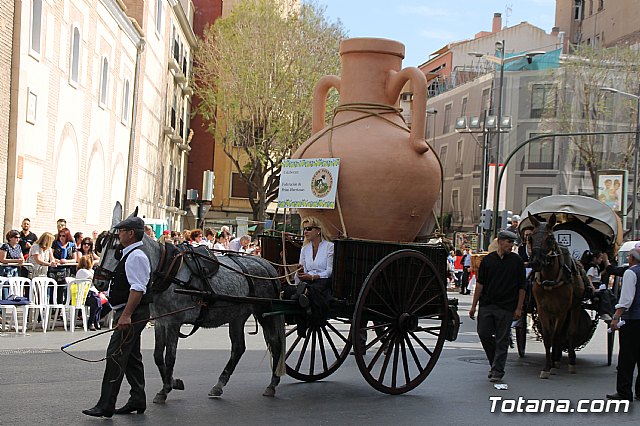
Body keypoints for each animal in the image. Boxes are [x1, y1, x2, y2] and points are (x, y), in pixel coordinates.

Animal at [94, 211, 284, 404]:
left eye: (117, 249)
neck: (167, 271)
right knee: (238, 348)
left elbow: (170, 357)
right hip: (237, 316)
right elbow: (157, 356)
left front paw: (166, 389)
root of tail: (265, 264)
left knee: (275, 344)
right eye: (101, 245)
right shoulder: (161, 321)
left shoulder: (173, 322)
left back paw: (272, 383)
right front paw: (172, 383)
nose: (99, 282)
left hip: (264, 313)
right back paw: (219, 385)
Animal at [524, 213, 584, 380]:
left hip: (575, 307)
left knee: (570, 332)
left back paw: (569, 360)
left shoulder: (562, 310)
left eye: (550, 238)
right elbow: (548, 337)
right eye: (530, 238)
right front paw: (547, 366)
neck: (550, 279)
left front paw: (553, 363)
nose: (536, 263)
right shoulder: (543, 310)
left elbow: (557, 335)